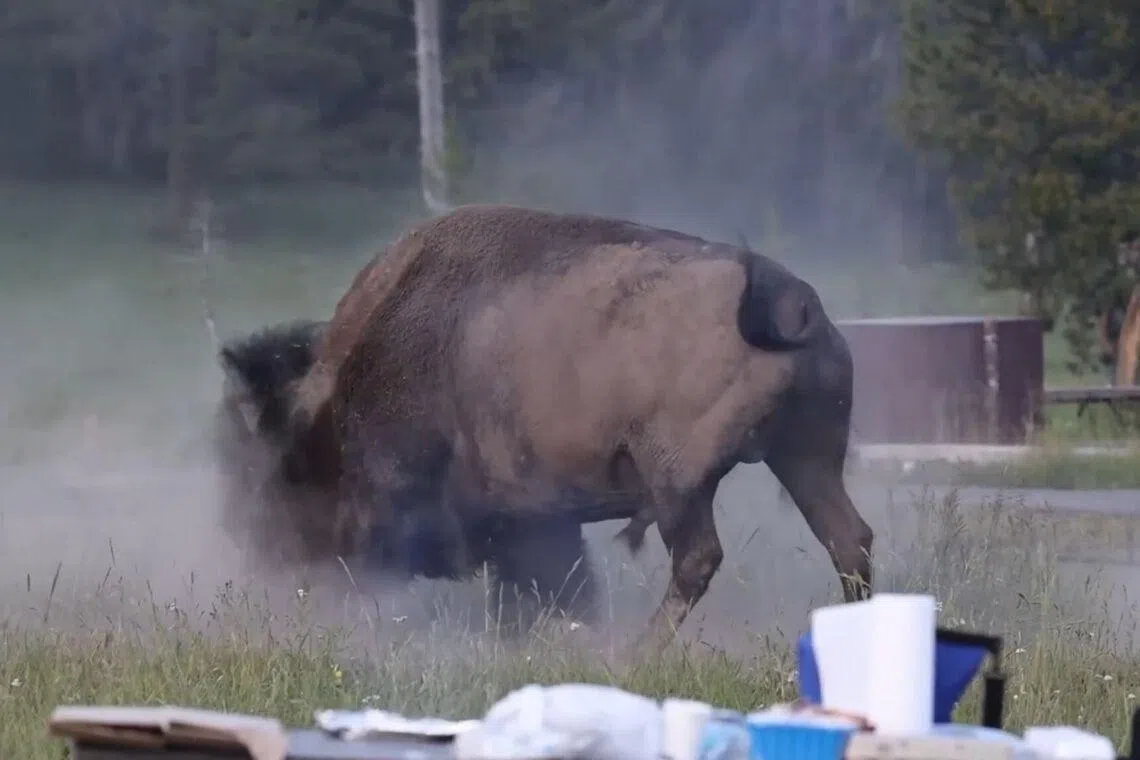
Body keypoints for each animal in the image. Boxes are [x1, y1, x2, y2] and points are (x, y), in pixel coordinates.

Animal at [214, 204, 873, 648]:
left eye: (280, 469)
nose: (269, 557)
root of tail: (782, 294)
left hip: (680, 483)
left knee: (698, 558)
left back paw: (635, 654)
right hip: (806, 457)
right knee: (849, 538)